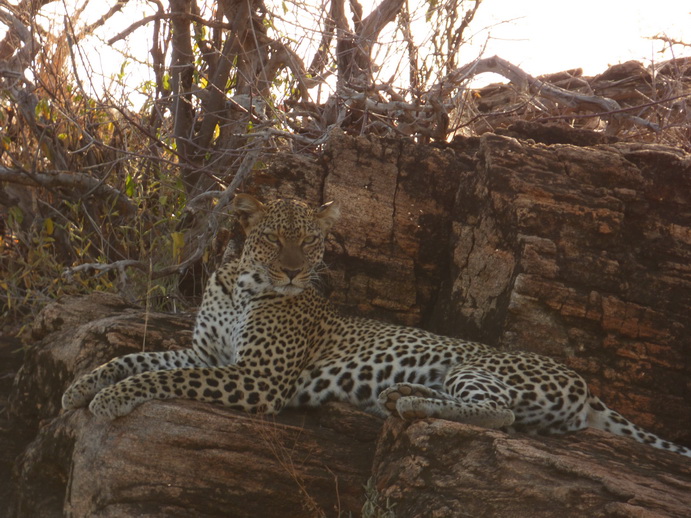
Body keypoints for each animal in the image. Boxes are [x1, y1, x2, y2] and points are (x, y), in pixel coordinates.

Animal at [62, 194, 691, 458]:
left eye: (311, 240)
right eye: (276, 237)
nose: (294, 270)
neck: (241, 285)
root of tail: (586, 385)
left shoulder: (257, 379)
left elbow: (157, 378)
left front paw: (111, 399)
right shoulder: (210, 357)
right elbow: (136, 358)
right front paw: (79, 387)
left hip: (473, 364)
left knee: (500, 412)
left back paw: (407, 402)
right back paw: (400, 394)